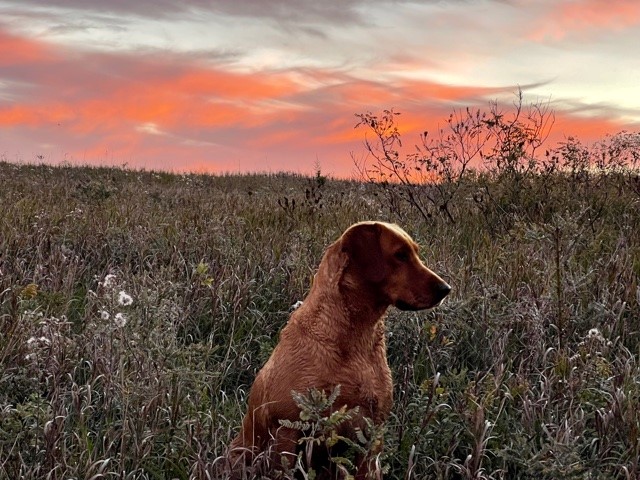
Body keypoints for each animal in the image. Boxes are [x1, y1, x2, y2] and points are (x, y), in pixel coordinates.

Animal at [228, 223, 452, 478]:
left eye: (415, 252)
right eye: (400, 255)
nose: (446, 289)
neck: (354, 342)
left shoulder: (372, 434)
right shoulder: (286, 432)